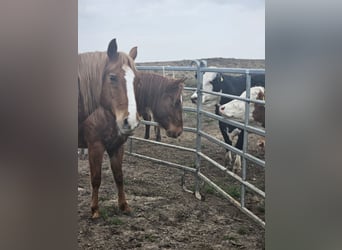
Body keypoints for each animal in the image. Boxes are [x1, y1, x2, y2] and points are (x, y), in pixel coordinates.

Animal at [79, 38, 140, 218]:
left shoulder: (116, 146)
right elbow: (96, 178)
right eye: (112, 77)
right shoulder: (95, 146)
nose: (129, 121)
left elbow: (119, 176)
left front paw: (124, 206)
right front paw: (95, 210)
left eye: (137, 80)